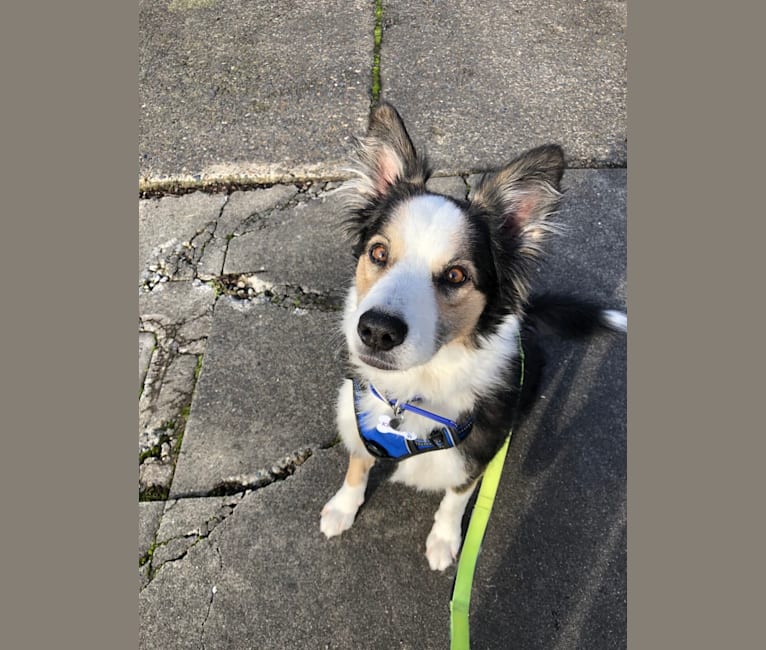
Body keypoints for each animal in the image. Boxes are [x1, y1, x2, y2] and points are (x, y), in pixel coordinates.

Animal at [320, 100, 628, 568]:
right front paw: (343, 507)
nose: (376, 331)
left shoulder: (478, 449)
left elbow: (456, 497)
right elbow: (358, 462)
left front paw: (445, 541)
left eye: (455, 275)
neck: (412, 392)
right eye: (378, 252)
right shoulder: (356, 415)